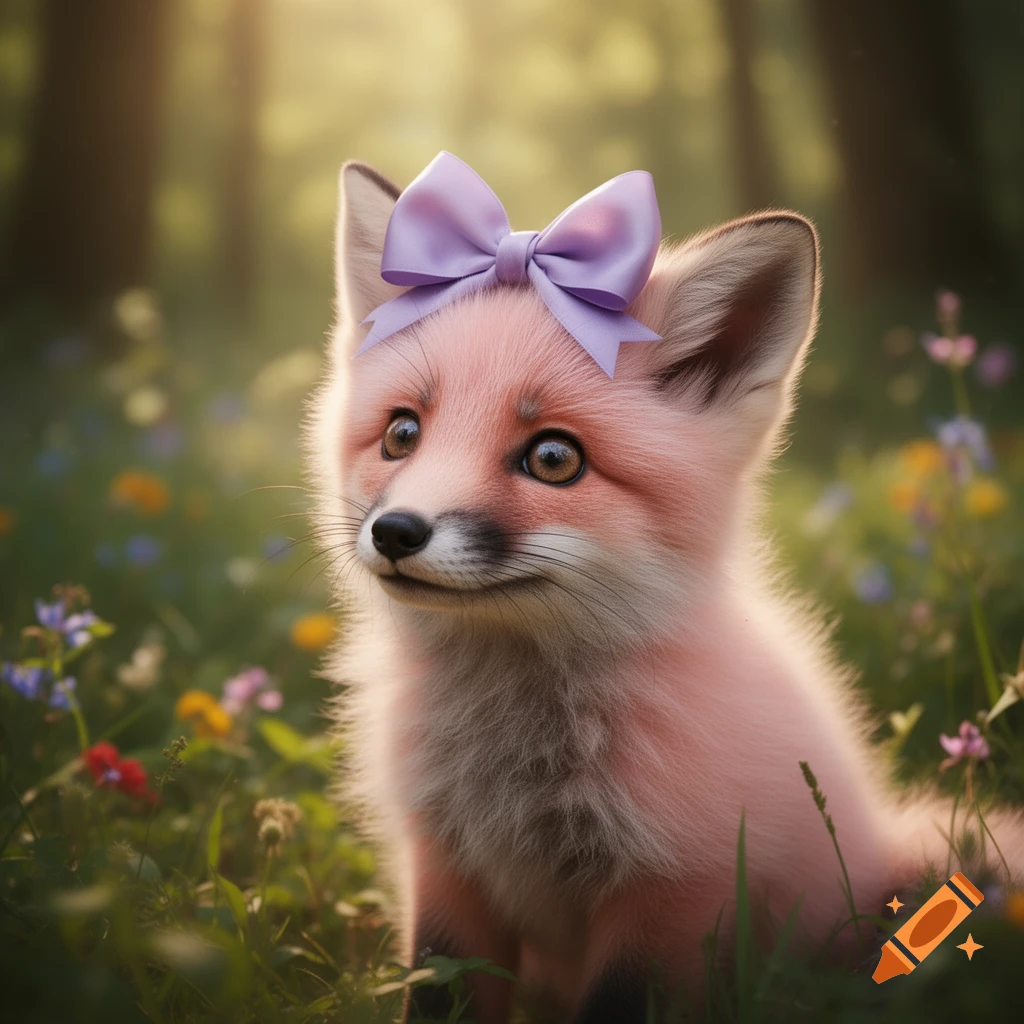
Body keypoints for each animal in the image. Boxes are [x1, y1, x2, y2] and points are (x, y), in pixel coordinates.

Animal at [306, 157, 1024, 1023]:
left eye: (554, 458)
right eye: (402, 434)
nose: (396, 533)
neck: (518, 763)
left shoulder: (674, 889)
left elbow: (622, 1002)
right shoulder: (445, 871)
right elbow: (439, 994)